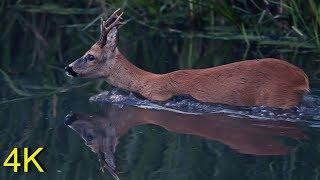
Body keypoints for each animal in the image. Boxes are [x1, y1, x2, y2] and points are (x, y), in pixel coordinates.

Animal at [63, 8, 308, 109]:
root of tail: (303, 78)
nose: (68, 67)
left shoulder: (160, 97)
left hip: (279, 97)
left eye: (90, 56)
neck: (146, 81)